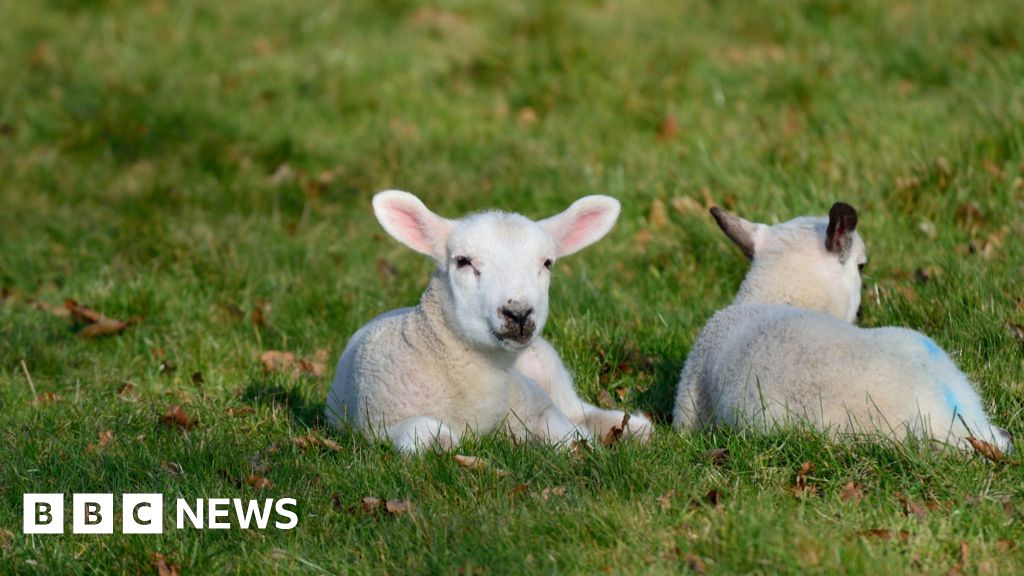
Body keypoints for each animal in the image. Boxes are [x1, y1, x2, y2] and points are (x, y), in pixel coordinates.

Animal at [323, 190, 651, 450]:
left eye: (547, 263)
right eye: (462, 261)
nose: (518, 313)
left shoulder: (536, 403)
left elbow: (570, 435)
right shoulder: (377, 423)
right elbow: (428, 435)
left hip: (551, 372)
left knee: (577, 408)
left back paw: (633, 428)